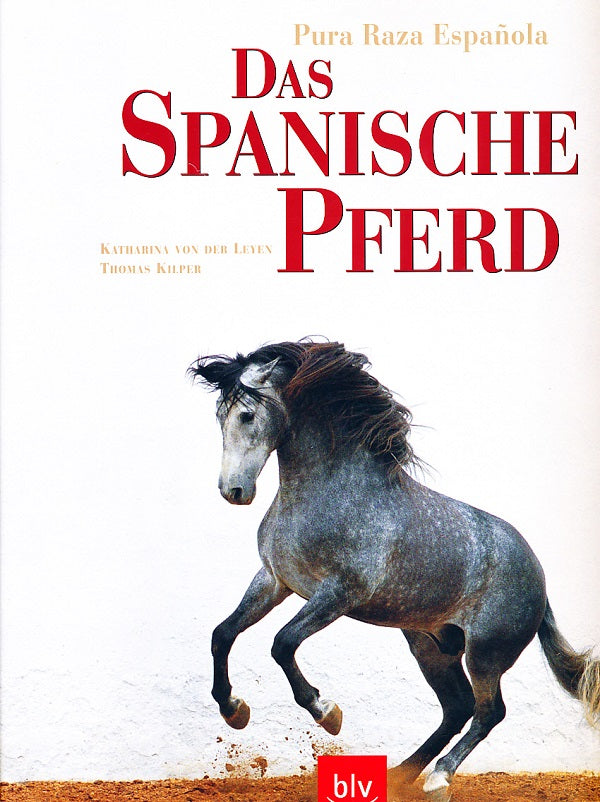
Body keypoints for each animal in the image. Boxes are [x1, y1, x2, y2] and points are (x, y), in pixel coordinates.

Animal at [189, 340, 600, 801]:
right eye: (219, 415)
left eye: (246, 414)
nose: (234, 491)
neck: (330, 495)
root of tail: (540, 580)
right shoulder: (276, 581)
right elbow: (223, 634)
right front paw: (234, 710)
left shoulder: (338, 594)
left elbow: (282, 643)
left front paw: (327, 712)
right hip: (430, 645)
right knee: (457, 707)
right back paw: (399, 776)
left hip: (486, 653)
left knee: (489, 712)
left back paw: (438, 779)